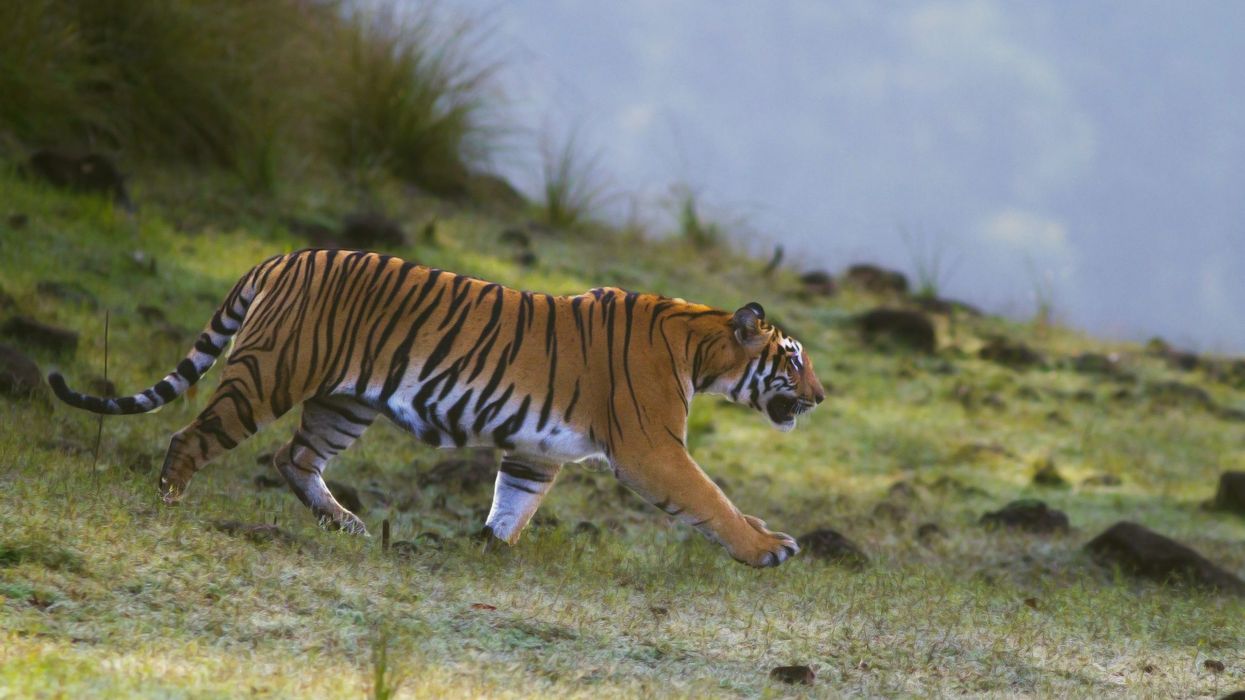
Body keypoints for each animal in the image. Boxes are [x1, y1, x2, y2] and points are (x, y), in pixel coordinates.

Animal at [48, 249, 826, 567]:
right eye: (793, 360)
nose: (819, 397)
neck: (702, 349)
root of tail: (283, 257)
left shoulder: (537, 448)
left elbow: (514, 502)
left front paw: (491, 550)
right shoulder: (650, 448)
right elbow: (710, 498)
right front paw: (765, 549)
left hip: (342, 404)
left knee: (292, 457)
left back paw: (347, 525)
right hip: (269, 373)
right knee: (191, 436)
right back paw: (171, 502)